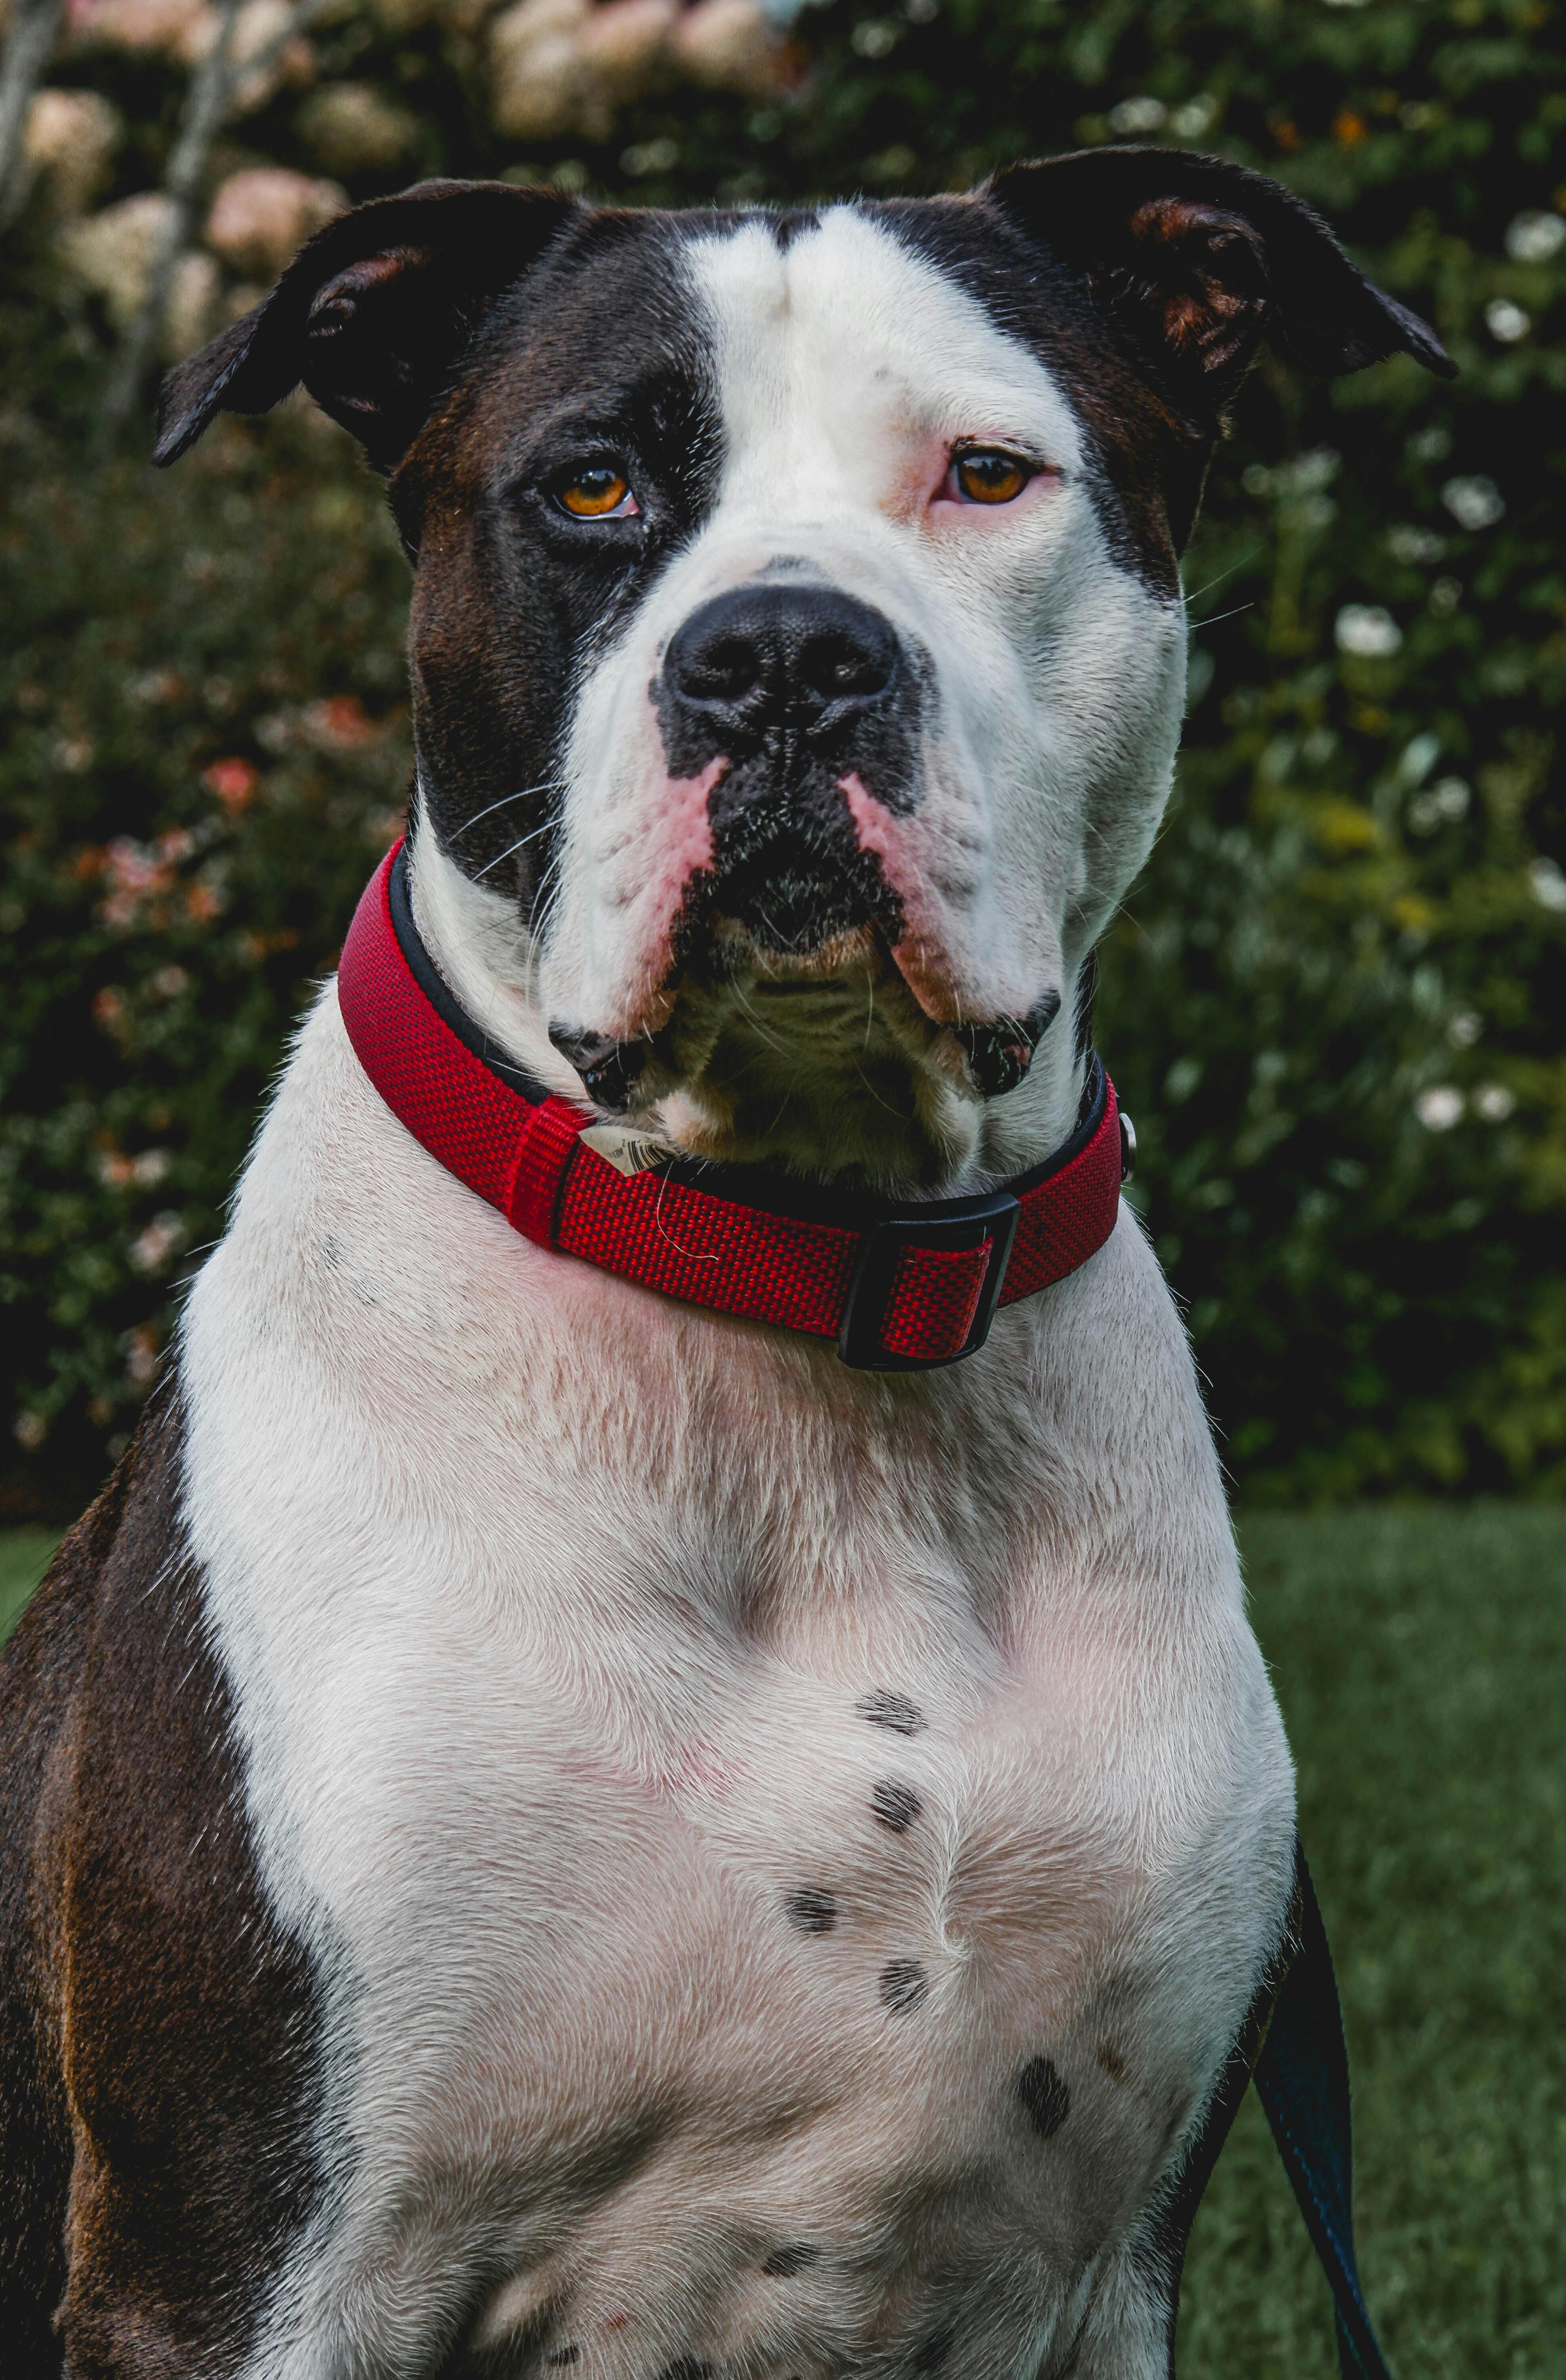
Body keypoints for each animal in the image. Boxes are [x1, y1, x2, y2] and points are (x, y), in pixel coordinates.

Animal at [0, 149, 1447, 2380]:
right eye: (592, 486)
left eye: (986, 474)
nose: (780, 655)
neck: (810, 1290)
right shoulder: (228, 2272)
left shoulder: (1110, 2269)